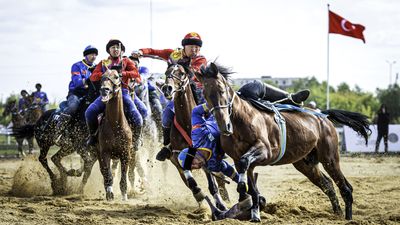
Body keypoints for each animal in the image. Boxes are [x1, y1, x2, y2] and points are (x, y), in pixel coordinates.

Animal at [96, 70, 137, 200]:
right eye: (102, 77)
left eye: (116, 76)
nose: (104, 90)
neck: (115, 125)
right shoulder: (105, 152)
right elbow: (108, 174)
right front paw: (109, 193)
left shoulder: (125, 153)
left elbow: (124, 175)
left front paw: (124, 195)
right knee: (104, 171)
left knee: (131, 172)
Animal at [162, 63, 231, 211]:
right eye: (166, 72)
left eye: (182, 73)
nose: (167, 88)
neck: (188, 124)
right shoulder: (179, 159)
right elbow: (193, 184)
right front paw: (200, 197)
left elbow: (213, 186)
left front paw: (221, 205)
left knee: (220, 180)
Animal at [198, 62, 370, 221]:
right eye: (205, 94)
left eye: (221, 90)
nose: (224, 126)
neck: (242, 120)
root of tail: (323, 115)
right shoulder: (242, 159)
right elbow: (249, 181)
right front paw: (252, 209)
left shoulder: (266, 151)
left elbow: (244, 164)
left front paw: (245, 198)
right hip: (305, 164)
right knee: (328, 185)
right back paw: (338, 213)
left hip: (330, 158)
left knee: (346, 188)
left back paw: (348, 217)